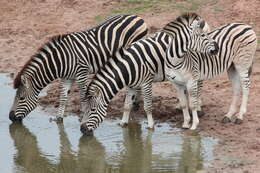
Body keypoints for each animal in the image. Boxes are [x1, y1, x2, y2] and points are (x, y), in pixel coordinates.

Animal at [8, 14, 148, 122]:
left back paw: (136, 103)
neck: (61, 60)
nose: (10, 117)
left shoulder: (81, 74)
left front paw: (84, 114)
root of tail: (137, 17)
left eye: (21, 98)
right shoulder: (66, 78)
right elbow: (63, 98)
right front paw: (59, 118)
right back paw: (135, 103)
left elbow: (82, 97)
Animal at [80, 12, 218, 136]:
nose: (82, 130)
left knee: (199, 84)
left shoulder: (146, 83)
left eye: (92, 110)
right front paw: (123, 123)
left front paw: (151, 126)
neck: (129, 67)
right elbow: (127, 105)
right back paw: (180, 106)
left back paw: (198, 107)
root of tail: (200, 18)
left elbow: (147, 106)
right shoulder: (131, 85)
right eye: (83, 110)